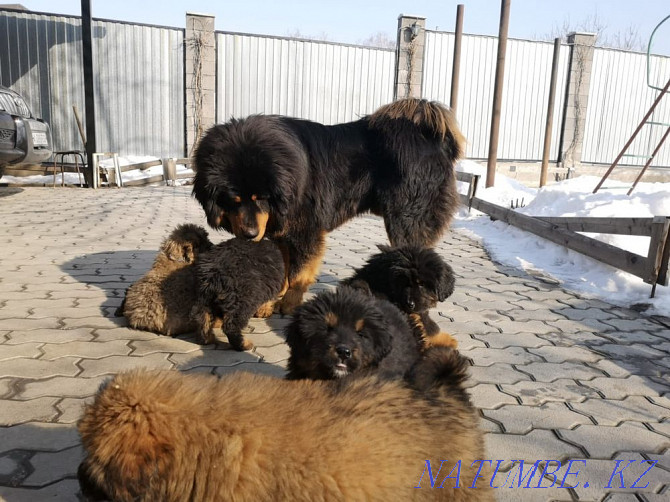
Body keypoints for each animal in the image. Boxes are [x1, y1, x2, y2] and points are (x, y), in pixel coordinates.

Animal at [194, 100, 468, 316]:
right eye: (234, 199)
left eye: (261, 197)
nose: (249, 235)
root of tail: (434, 138)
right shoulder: (281, 235)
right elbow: (283, 271)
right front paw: (270, 302)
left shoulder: (305, 231)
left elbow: (297, 275)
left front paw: (288, 304)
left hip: (405, 219)